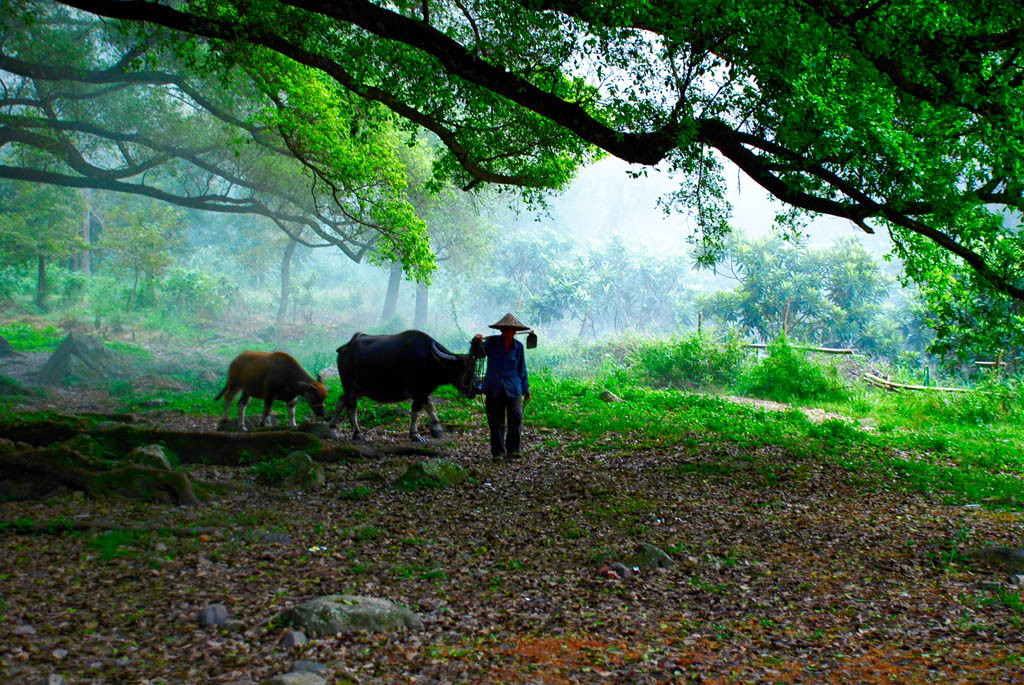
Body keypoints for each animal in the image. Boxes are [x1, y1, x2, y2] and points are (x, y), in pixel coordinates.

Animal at [329, 327, 485, 440]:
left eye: (473, 367)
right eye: (461, 368)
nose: (477, 387)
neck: (430, 360)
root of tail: (345, 348)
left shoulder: (421, 393)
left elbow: (417, 410)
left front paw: (416, 434)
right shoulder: (416, 391)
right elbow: (429, 406)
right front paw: (435, 429)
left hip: (359, 388)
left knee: (342, 400)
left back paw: (332, 430)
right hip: (349, 385)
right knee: (351, 407)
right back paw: (357, 434)